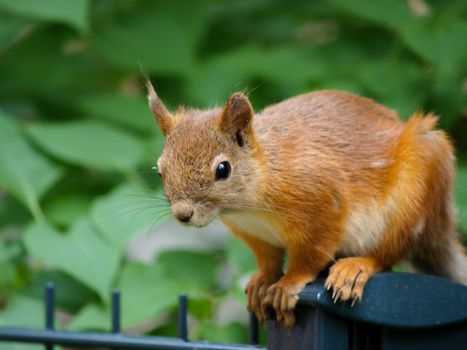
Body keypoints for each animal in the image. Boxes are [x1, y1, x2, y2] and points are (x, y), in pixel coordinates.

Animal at [146, 80, 467, 326]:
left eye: (222, 169)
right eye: (160, 170)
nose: (183, 214)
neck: (248, 208)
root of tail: (439, 225)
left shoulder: (322, 206)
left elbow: (310, 255)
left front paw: (288, 283)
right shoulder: (256, 235)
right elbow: (268, 259)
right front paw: (263, 280)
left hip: (413, 196)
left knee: (388, 252)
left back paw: (355, 268)